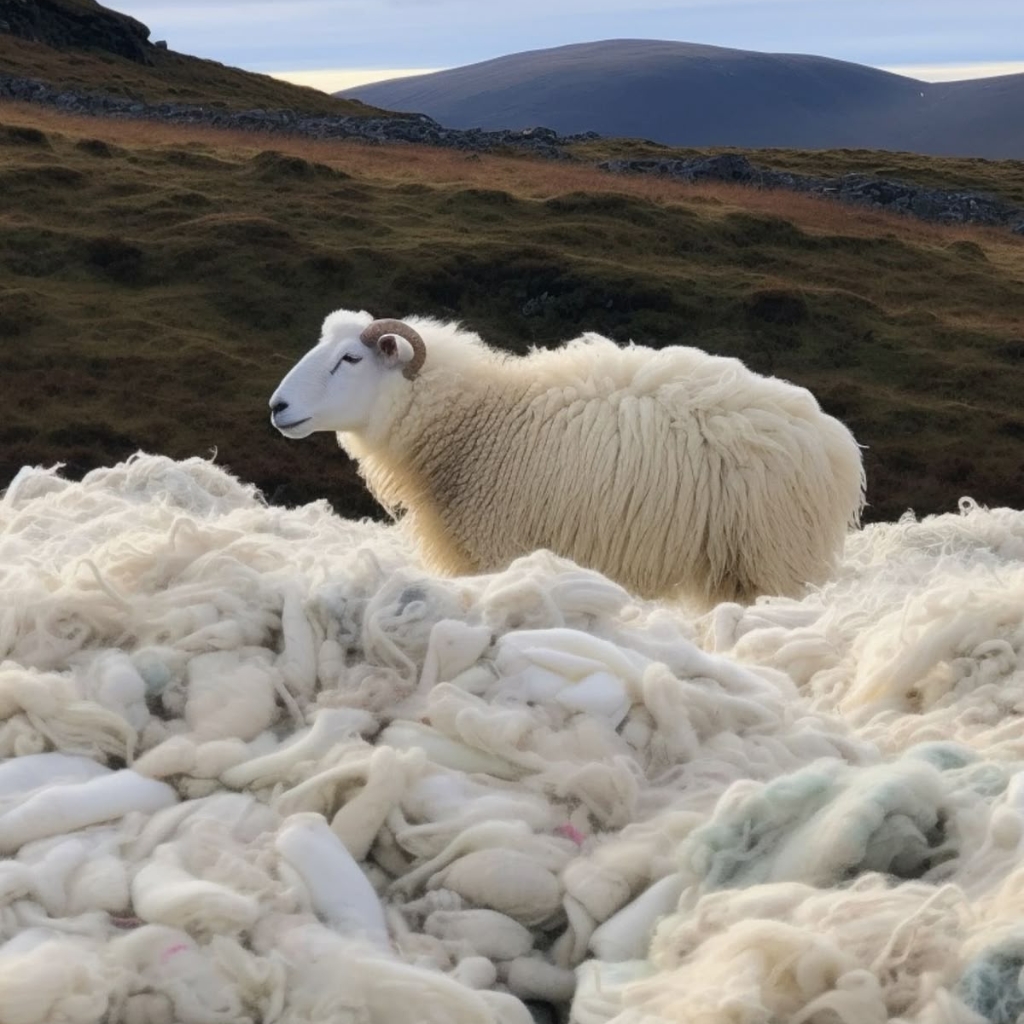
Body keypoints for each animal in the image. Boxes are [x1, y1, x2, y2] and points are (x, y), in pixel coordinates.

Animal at [268, 308, 865, 606]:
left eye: (350, 359)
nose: (277, 407)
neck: (477, 421)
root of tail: (838, 442)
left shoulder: (499, 547)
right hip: (733, 567)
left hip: (778, 561)